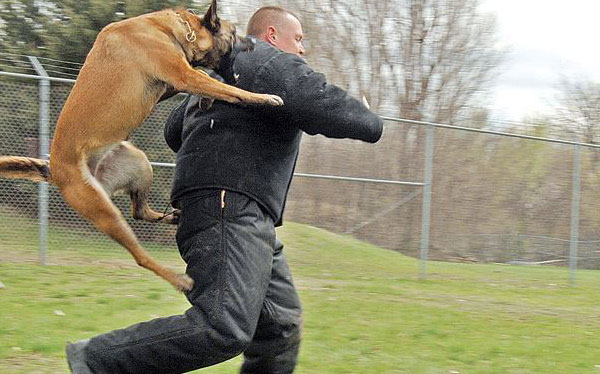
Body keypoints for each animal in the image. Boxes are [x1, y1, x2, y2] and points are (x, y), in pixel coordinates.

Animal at [0, 0, 284, 292]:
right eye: (235, 33)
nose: (253, 41)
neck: (174, 30)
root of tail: (54, 168)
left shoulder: (171, 84)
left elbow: (208, 80)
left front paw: (206, 100)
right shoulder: (183, 75)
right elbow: (223, 85)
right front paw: (264, 98)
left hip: (138, 163)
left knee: (139, 211)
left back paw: (172, 218)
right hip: (104, 211)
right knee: (140, 256)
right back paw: (179, 279)